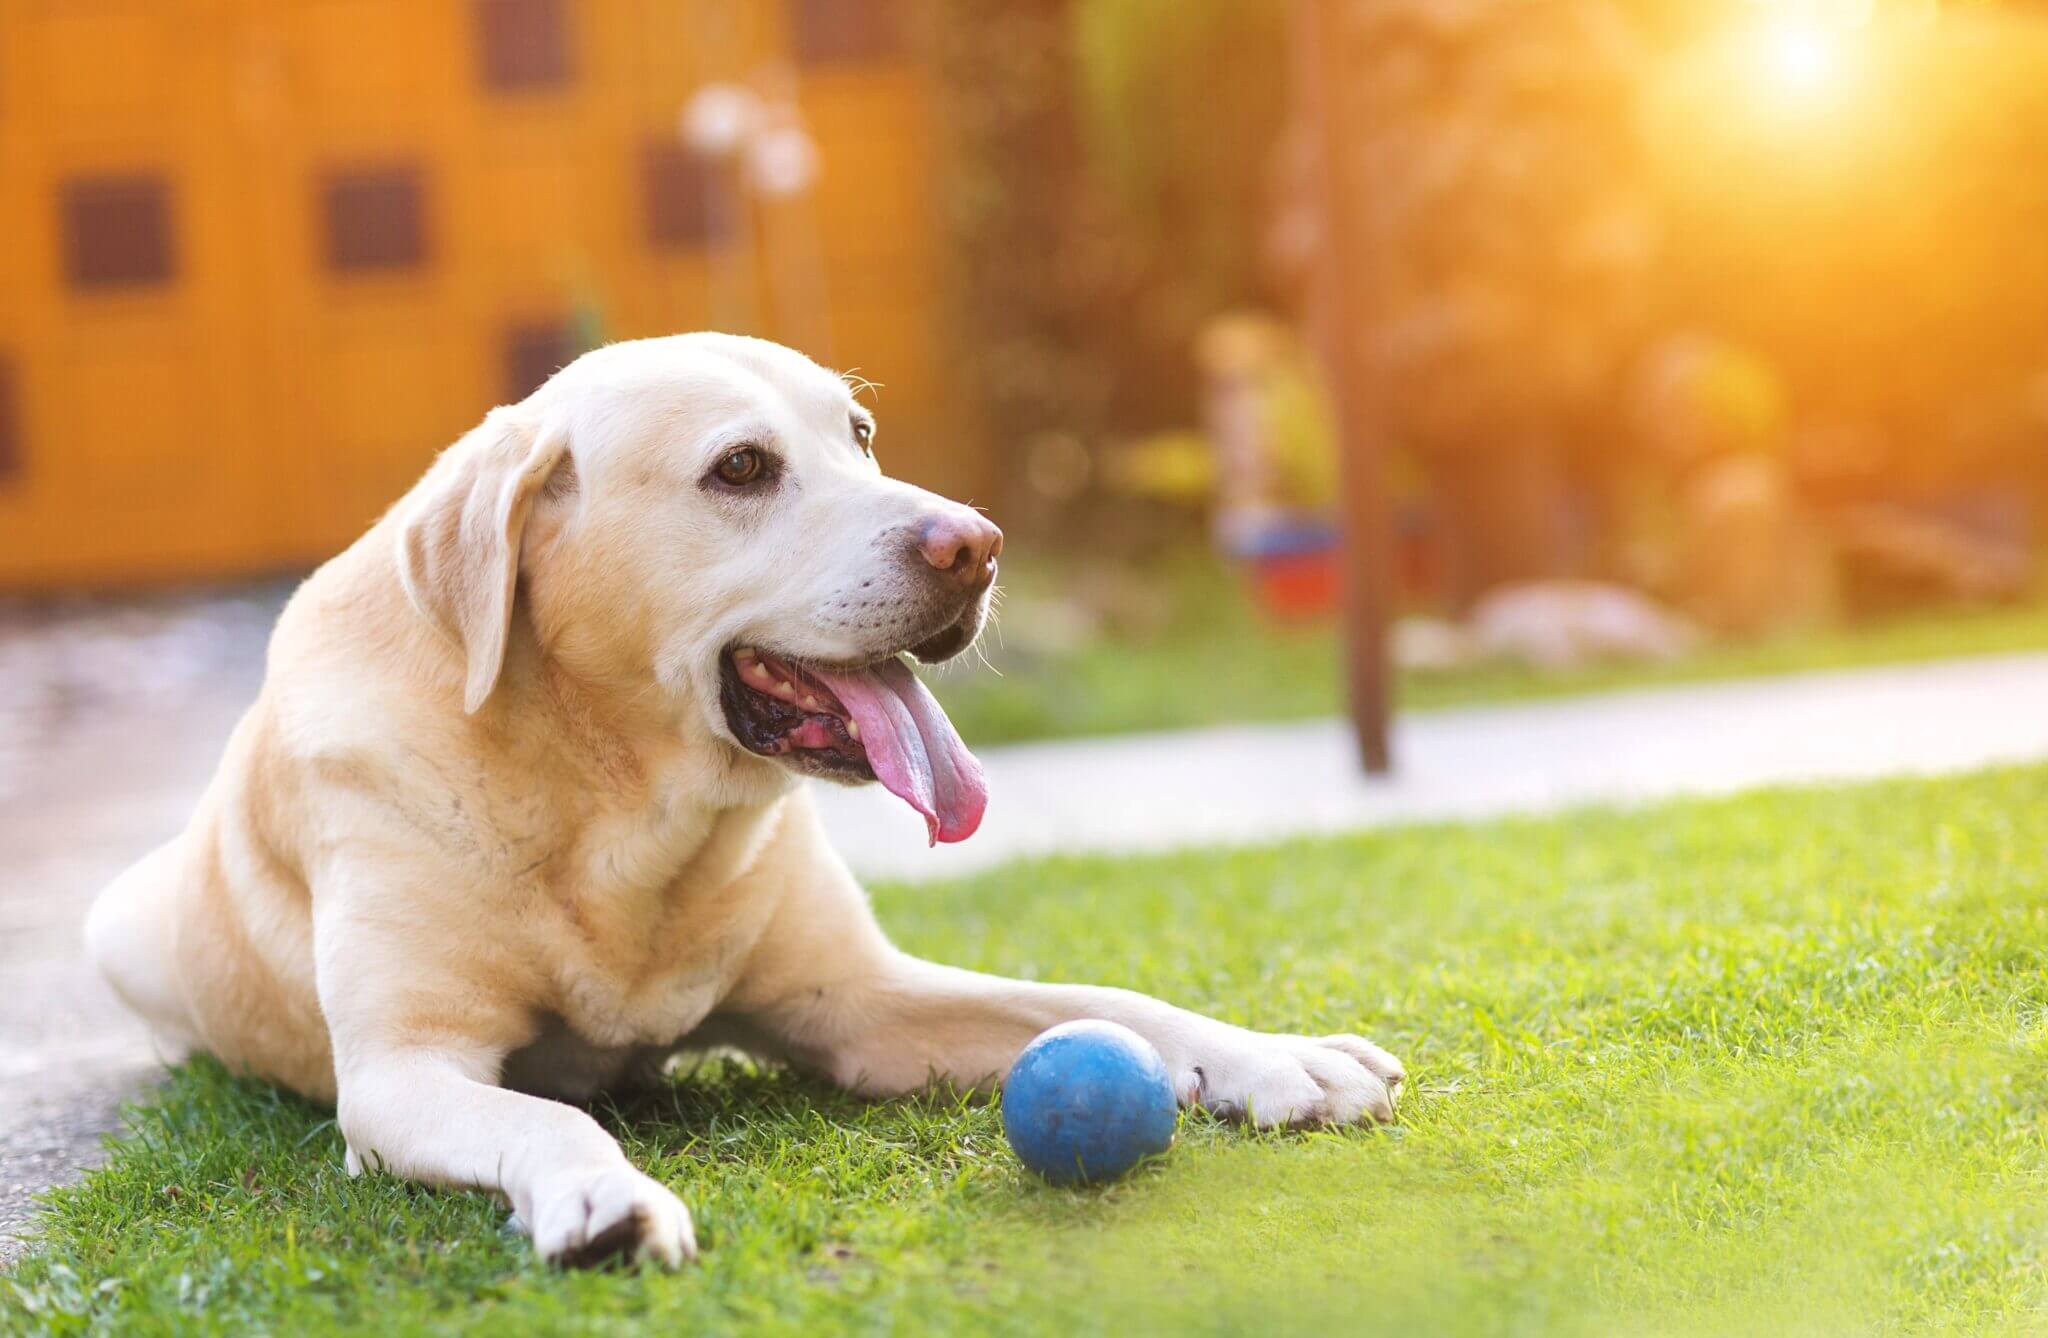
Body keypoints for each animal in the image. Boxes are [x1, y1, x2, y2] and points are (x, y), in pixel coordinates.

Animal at [79, 331, 1392, 1262]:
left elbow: (1100, 997)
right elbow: (545, 1117)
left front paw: (1275, 1057)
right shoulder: (405, 1072)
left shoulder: (863, 1006)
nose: (976, 543)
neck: (616, 806)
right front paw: (602, 1194)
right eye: (742, 469)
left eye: (859, 434)